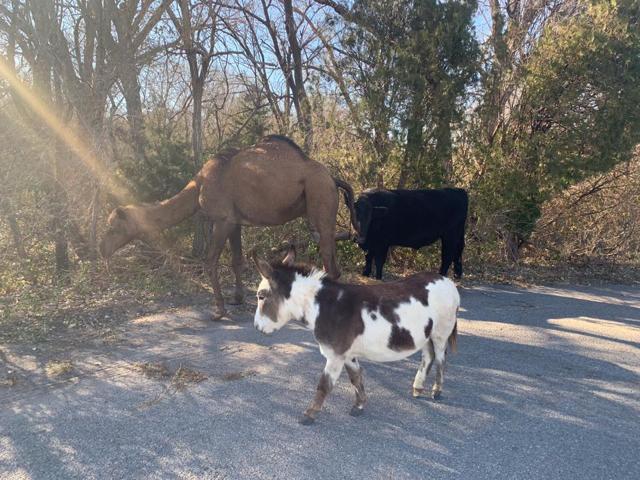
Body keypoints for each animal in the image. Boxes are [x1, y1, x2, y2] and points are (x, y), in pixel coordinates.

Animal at [99, 135, 359, 319]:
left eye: (113, 227)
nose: (101, 249)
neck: (198, 186)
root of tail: (332, 178)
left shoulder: (222, 219)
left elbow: (210, 260)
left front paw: (219, 310)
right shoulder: (235, 222)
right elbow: (237, 259)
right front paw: (237, 299)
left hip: (319, 198)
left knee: (327, 259)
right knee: (332, 262)